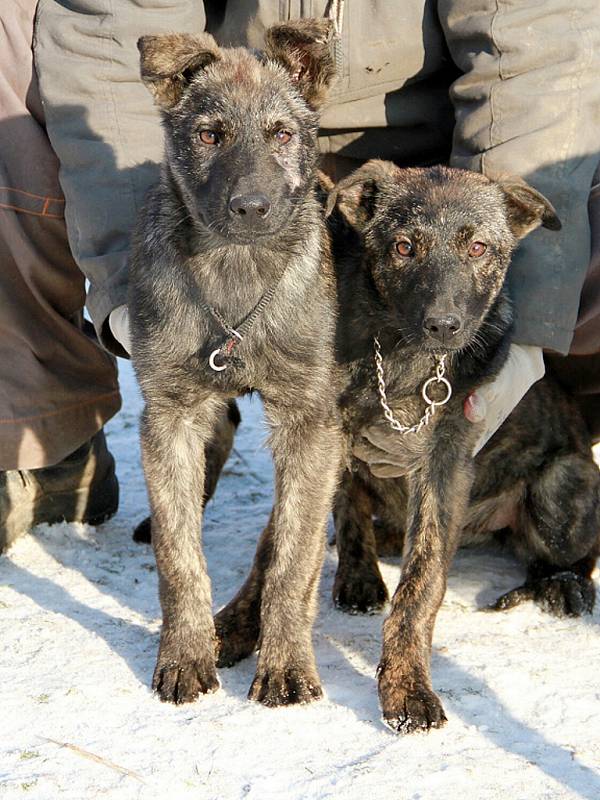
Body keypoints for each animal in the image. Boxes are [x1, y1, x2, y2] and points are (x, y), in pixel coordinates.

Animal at [129, 20, 342, 708]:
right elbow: (179, 555)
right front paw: (186, 655)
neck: (234, 273)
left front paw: (286, 665)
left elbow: (294, 557)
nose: (250, 208)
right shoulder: (168, 413)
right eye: (208, 135)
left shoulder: (311, 422)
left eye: (282, 133)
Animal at [328, 159, 600, 736]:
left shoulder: (444, 464)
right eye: (404, 247)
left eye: (478, 248)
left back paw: (561, 584)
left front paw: (406, 687)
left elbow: (423, 581)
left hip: (561, 484)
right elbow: (339, 510)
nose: (443, 324)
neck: (405, 357)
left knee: (577, 550)